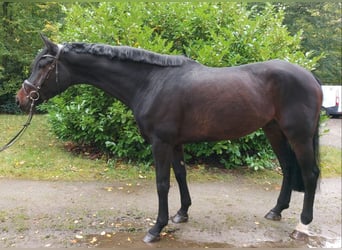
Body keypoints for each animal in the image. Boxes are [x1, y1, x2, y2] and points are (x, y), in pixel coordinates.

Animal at [15, 35, 320, 242]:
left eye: (43, 65)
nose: (21, 99)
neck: (151, 82)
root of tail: (311, 77)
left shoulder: (160, 142)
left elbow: (162, 183)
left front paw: (156, 228)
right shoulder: (175, 143)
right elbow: (181, 175)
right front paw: (182, 213)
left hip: (299, 135)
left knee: (310, 174)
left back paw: (302, 225)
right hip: (274, 130)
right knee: (288, 168)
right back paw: (276, 210)